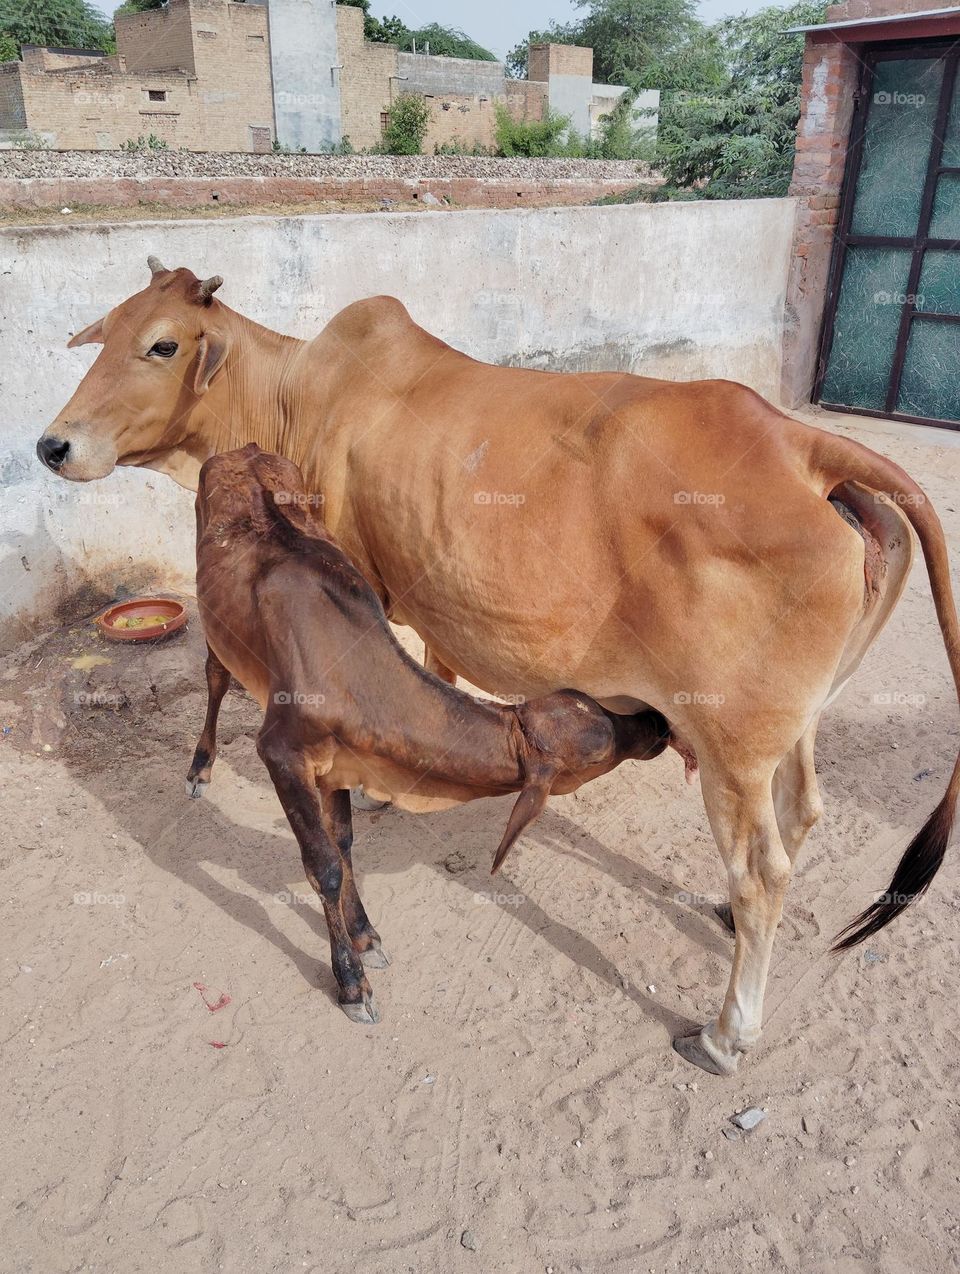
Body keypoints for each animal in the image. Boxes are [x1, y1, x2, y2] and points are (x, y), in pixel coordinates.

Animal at [188, 443, 670, 1023]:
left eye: (598, 706)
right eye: (601, 751)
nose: (657, 721)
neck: (353, 670)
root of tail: (246, 449)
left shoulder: (339, 765)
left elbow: (344, 844)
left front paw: (364, 934)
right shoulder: (281, 754)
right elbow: (323, 865)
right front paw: (351, 981)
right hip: (211, 614)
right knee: (215, 676)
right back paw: (199, 767)